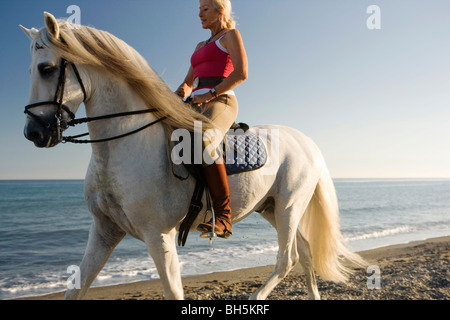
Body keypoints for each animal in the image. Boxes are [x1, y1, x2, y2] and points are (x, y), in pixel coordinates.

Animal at [22, 13, 366, 300]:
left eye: (46, 68)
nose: (33, 133)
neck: (126, 145)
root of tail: (305, 141)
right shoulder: (104, 231)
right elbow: (75, 289)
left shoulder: (159, 237)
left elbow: (173, 292)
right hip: (269, 207)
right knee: (305, 252)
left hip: (288, 207)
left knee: (287, 259)